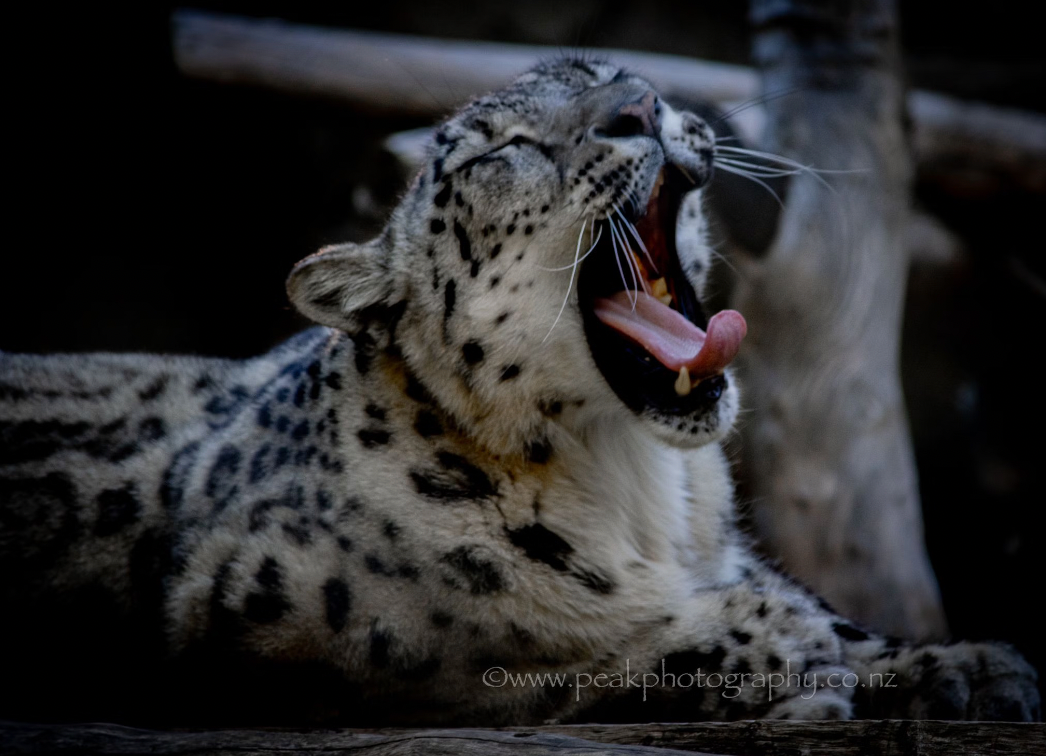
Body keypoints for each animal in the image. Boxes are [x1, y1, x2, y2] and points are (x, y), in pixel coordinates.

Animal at [0, 58, 1039, 727]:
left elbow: (826, 612)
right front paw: (776, 645)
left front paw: (963, 664)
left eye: (607, 70)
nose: (643, 102)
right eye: (496, 151)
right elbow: (557, 649)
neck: (643, 491)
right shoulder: (310, 621)